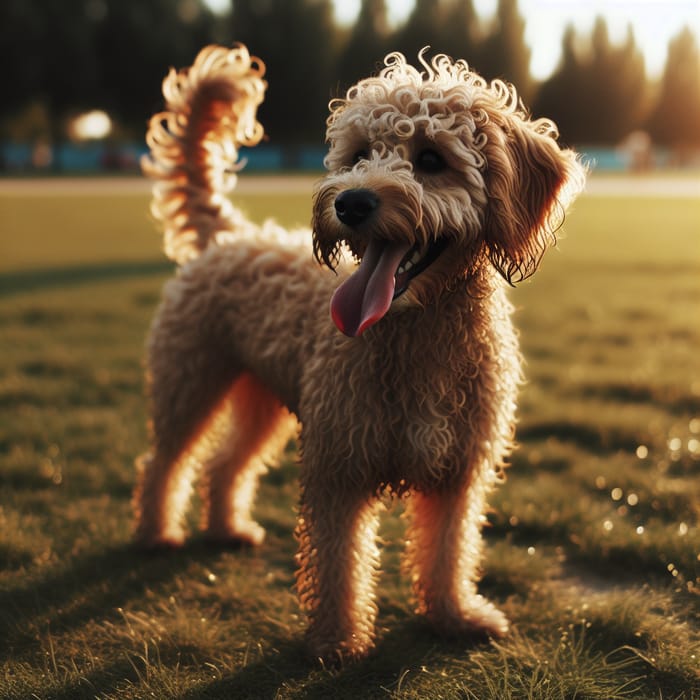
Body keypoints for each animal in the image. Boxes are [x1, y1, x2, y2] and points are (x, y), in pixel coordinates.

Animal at [133, 43, 584, 660]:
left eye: (431, 158)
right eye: (359, 153)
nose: (349, 202)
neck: (417, 337)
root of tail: (229, 235)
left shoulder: (456, 473)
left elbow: (448, 551)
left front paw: (454, 616)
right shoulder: (338, 466)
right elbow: (338, 563)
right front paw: (337, 641)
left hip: (261, 402)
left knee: (227, 463)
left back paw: (227, 528)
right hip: (190, 382)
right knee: (165, 462)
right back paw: (156, 533)